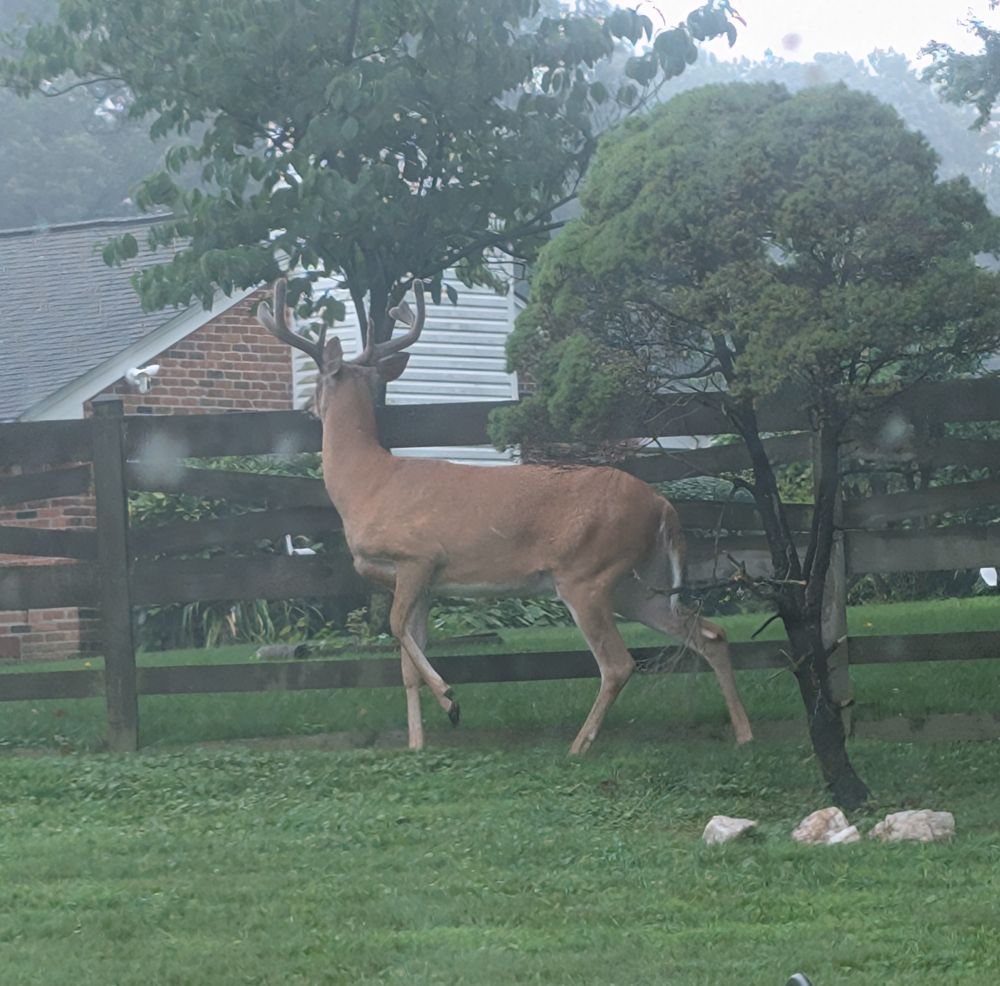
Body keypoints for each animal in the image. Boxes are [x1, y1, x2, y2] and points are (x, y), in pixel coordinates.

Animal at [257, 278, 753, 754]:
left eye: (319, 382)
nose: (307, 409)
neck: (367, 482)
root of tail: (662, 504)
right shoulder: (420, 582)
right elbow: (407, 656)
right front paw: (418, 743)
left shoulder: (418, 556)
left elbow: (396, 629)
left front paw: (450, 699)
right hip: (638, 583)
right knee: (709, 633)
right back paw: (743, 733)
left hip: (586, 573)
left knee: (618, 663)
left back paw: (579, 746)